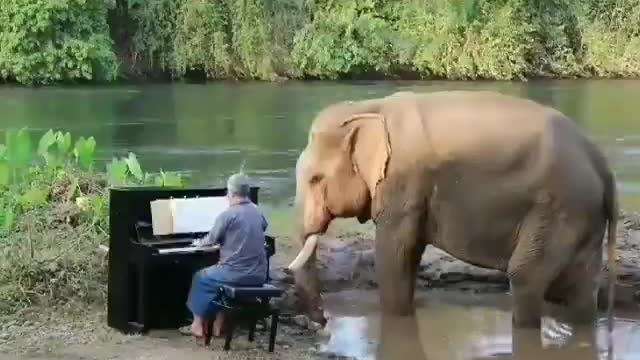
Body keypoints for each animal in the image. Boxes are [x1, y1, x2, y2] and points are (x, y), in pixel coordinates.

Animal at [288, 89, 616, 330]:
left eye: (315, 179)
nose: (321, 322)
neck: (369, 107)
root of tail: (601, 162)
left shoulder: (403, 183)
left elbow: (394, 255)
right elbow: (410, 254)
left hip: (558, 209)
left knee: (525, 276)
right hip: (581, 216)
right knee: (580, 287)